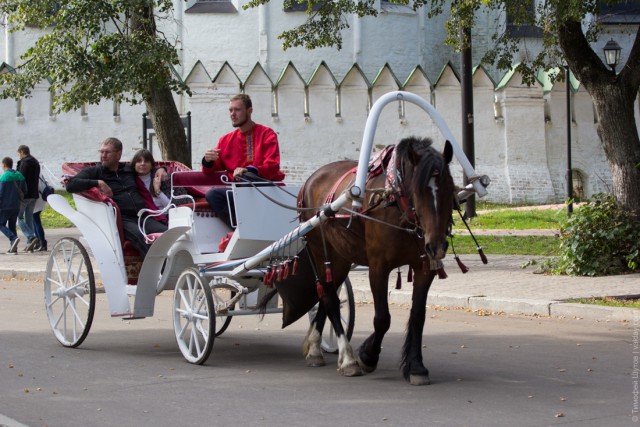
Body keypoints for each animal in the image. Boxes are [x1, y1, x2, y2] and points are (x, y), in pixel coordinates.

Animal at [298, 136, 456, 384]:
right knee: (330, 298)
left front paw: (416, 366)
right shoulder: (378, 267)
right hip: (319, 251)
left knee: (327, 295)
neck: (396, 203)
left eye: (450, 188)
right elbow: (382, 318)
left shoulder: (424, 268)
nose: (437, 246)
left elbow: (418, 316)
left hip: (341, 258)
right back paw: (347, 358)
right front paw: (367, 355)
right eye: (419, 191)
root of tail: (311, 179)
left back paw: (316, 347)